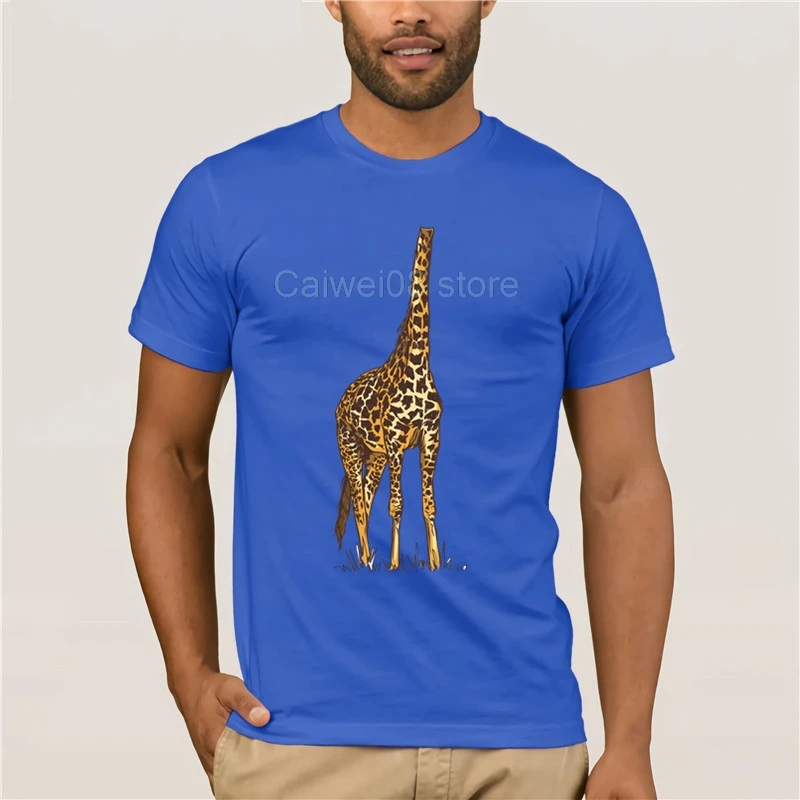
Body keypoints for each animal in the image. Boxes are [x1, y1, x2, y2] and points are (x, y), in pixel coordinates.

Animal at [334, 226, 443, 571]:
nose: (428, 229)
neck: (418, 362)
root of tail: (341, 401)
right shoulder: (396, 438)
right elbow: (396, 504)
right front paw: (395, 565)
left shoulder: (431, 435)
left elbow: (428, 504)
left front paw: (436, 565)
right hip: (351, 449)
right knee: (358, 500)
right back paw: (367, 561)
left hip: (376, 455)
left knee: (366, 498)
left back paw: (367, 558)